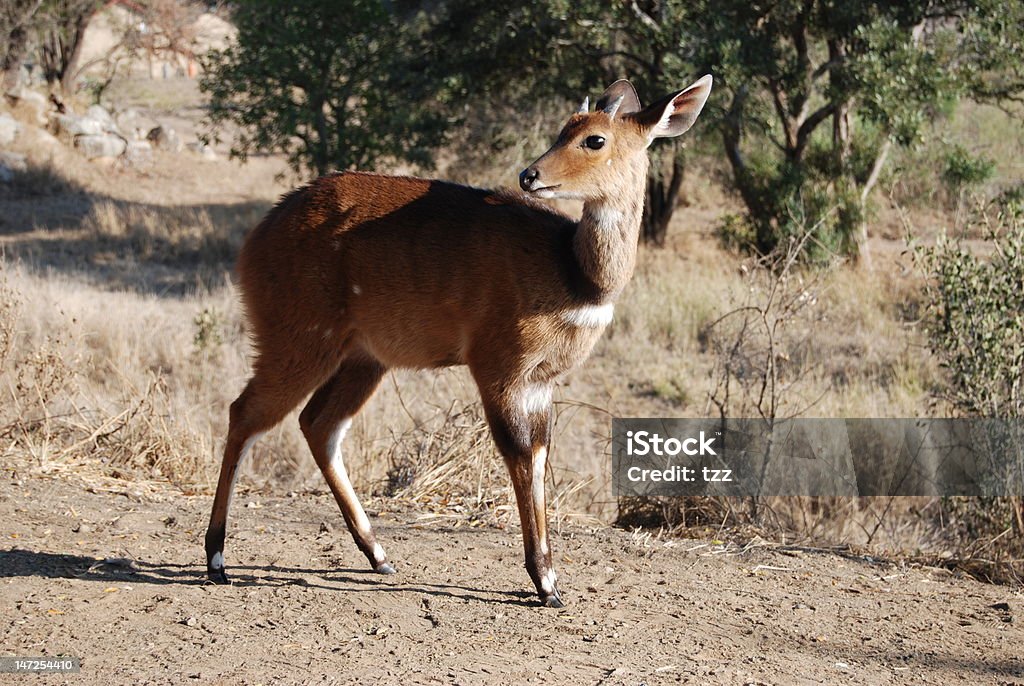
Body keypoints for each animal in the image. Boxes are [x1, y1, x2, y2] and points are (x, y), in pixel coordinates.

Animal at [204, 75, 716, 606]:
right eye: (563, 129)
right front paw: (545, 582)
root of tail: (258, 236)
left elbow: (539, 454)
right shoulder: (498, 368)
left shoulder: (540, 382)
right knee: (245, 413)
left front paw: (550, 579)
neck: (573, 272)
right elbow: (520, 453)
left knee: (318, 424)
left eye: (593, 138)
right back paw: (217, 560)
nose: (529, 175)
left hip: (363, 359)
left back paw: (379, 555)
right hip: (298, 341)